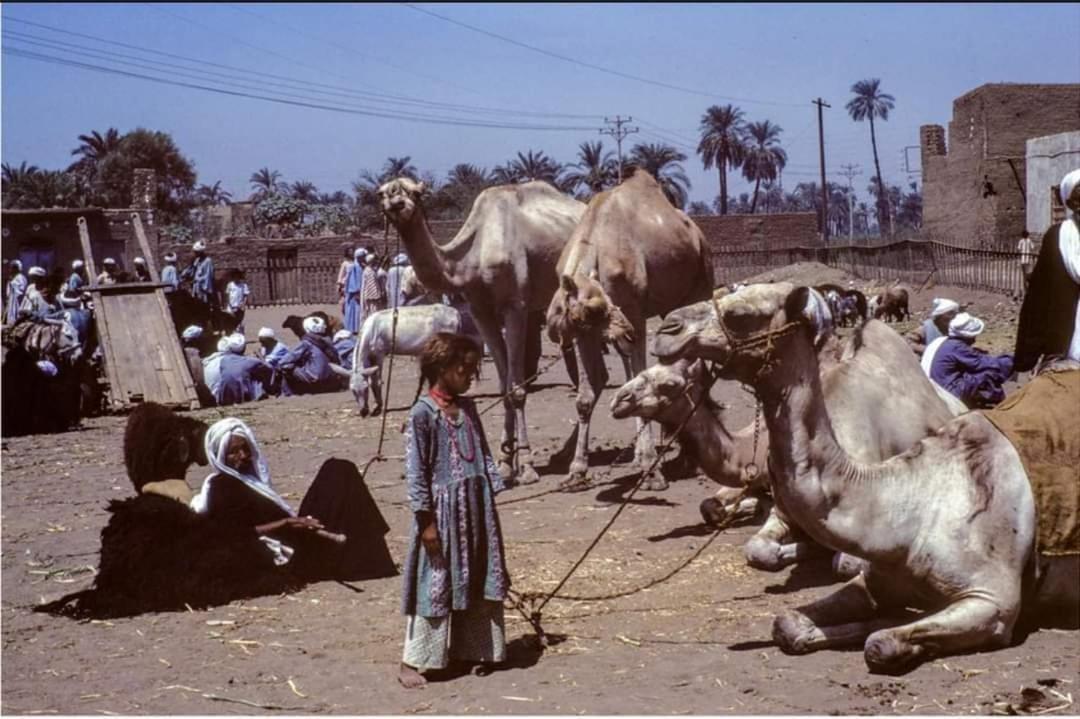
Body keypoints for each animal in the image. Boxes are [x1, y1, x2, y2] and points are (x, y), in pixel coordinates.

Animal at [378, 175, 587, 483]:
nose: (395, 201)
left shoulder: (515, 306)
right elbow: (504, 388)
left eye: (415, 193)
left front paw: (526, 465)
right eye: (382, 192)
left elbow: (517, 389)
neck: (471, 258)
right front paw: (505, 462)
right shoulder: (481, 311)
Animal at [548, 170, 717, 490]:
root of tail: (698, 236)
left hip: (700, 283)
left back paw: (684, 460)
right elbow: (586, 397)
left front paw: (651, 470)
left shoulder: (635, 314)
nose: (552, 328)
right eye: (592, 311)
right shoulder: (588, 333)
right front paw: (576, 470)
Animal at [648, 285, 1080, 673]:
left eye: (741, 315)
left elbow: (880, 643)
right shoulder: (879, 578)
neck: (909, 505)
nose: (667, 328)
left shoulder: (993, 601)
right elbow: (788, 623)